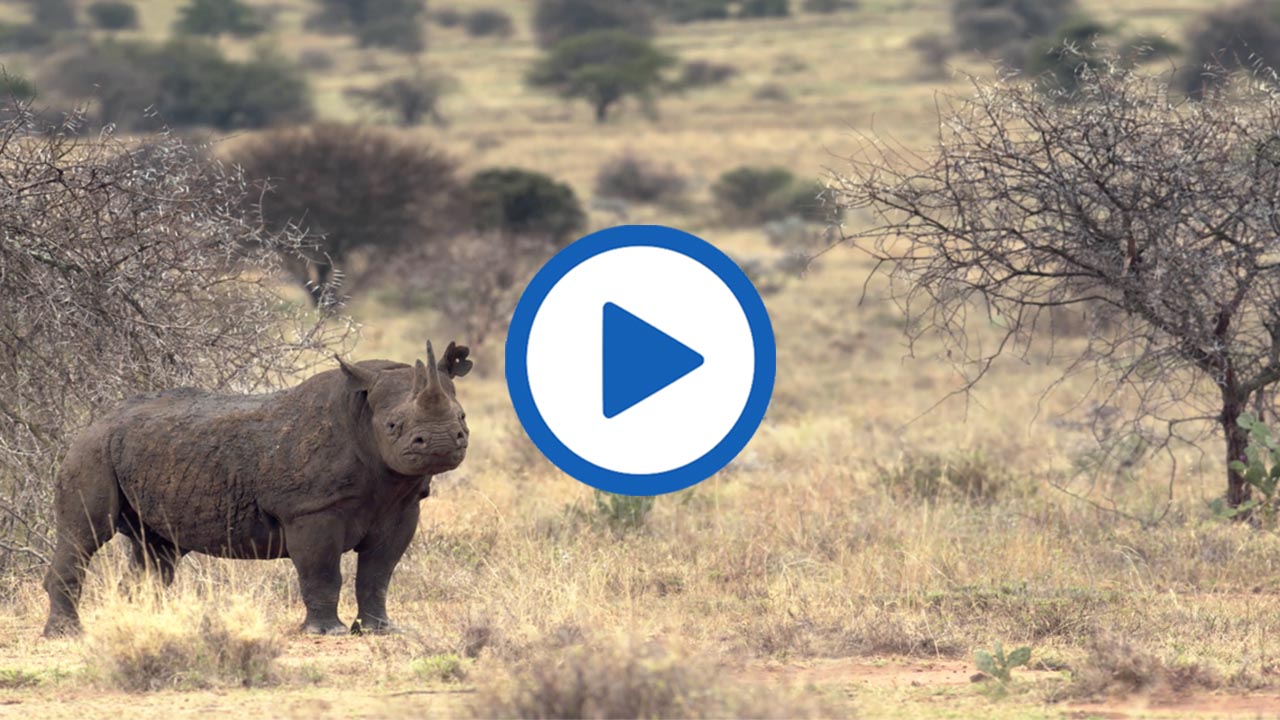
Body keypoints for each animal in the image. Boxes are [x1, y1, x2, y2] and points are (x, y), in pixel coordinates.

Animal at [43, 340, 472, 638]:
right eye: (393, 426)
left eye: (463, 417)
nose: (439, 442)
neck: (363, 414)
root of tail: (98, 418)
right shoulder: (311, 509)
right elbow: (321, 571)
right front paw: (326, 632)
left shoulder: (402, 506)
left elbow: (378, 574)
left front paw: (379, 630)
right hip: (91, 450)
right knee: (85, 535)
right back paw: (67, 635)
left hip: (139, 452)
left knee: (157, 550)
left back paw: (148, 624)